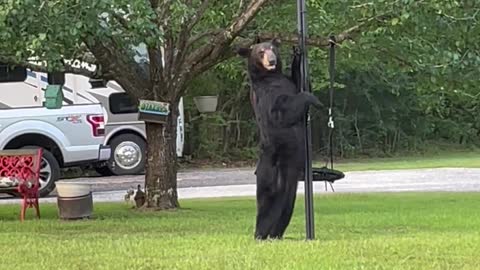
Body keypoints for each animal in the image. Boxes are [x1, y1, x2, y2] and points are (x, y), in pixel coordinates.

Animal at [236, 39, 318, 239]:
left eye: (272, 48)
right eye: (261, 51)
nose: (272, 60)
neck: (270, 76)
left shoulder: (287, 82)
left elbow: (300, 82)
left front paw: (297, 54)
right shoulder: (266, 95)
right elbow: (280, 112)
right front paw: (313, 99)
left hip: (290, 180)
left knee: (286, 205)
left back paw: (275, 234)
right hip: (270, 170)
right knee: (265, 201)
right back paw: (260, 234)